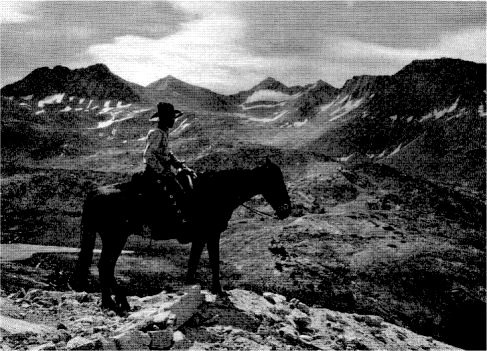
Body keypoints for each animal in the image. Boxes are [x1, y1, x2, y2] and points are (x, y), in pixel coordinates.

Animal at [70, 160, 292, 314]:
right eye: (274, 181)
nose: (286, 210)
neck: (215, 193)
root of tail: (94, 192)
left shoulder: (202, 237)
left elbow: (195, 262)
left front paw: (193, 288)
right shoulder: (211, 235)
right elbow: (212, 261)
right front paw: (218, 291)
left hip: (111, 238)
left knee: (104, 267)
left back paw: (111, 302)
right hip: (116, 238)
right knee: (105, 266)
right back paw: (118, 302)